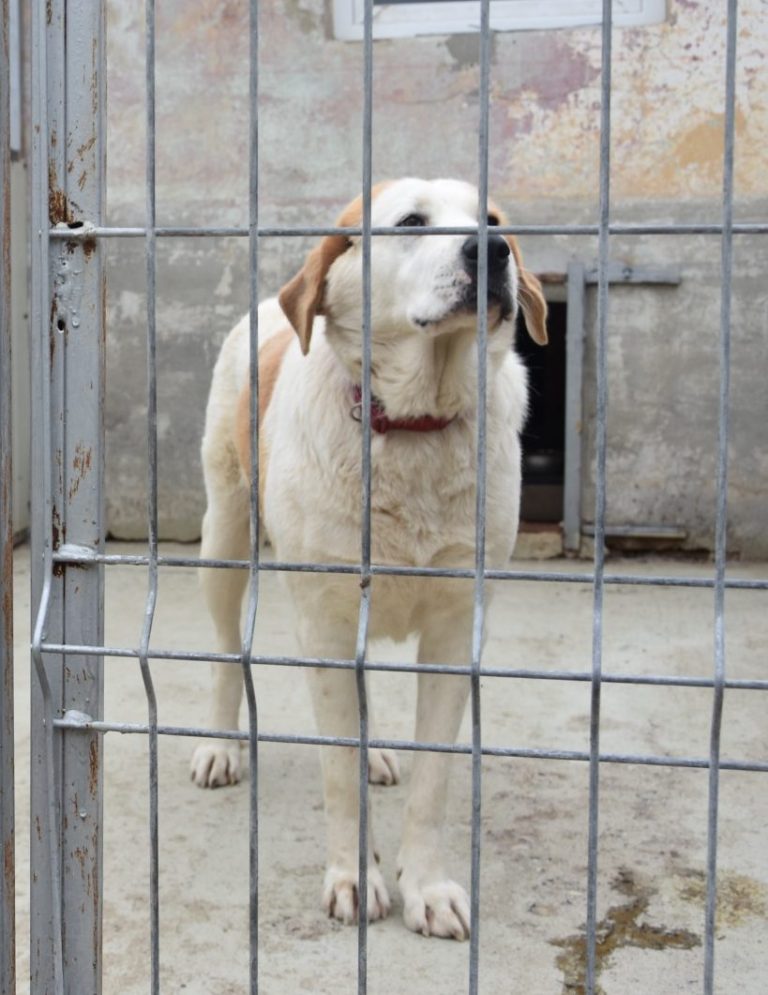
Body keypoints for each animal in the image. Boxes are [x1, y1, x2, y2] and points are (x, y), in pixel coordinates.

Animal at [191, 177, 547, 939]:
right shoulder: (324, 625)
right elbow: (337, 769)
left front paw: (429, 887)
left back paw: (379, 748)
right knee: (226, 650)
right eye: (411, 222)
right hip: (223, 539)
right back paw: (220, 744)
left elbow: (433, 779)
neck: (412, 426)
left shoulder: (456, 628)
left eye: (494, 220)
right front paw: (354, 878)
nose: (492, 251)